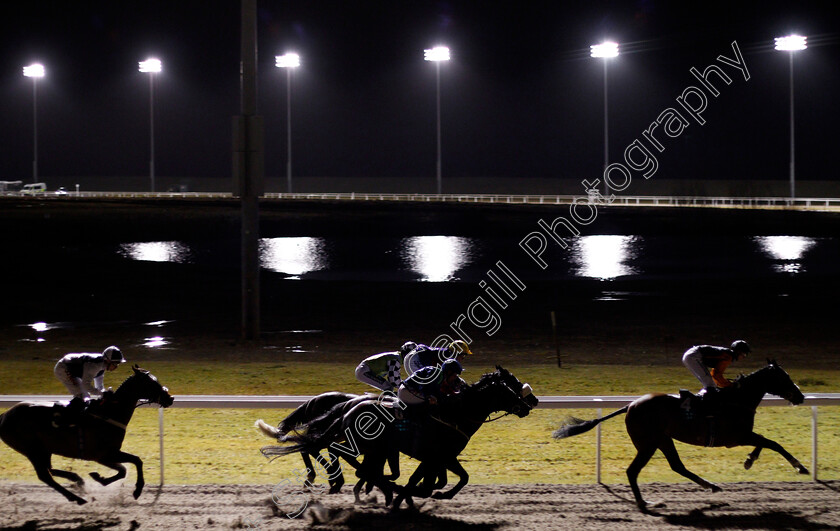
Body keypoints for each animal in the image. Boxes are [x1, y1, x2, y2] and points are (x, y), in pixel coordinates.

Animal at [0, 368, 173, 504]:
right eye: (152, 383)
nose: (170, 398)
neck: (109, 413)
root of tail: (4, 416)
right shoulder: (103, 454)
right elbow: (136, 461)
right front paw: (137, 490)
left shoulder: (107, 455)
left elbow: (123, 469)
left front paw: (99, 477)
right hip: (31, 450)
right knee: (45, 476)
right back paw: (77, 498)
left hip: (43, 450)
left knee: (49, 471)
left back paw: (76, 480)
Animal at [262, 368, 540, 510]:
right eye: (510, 387)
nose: (530, 404)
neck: (456, 413)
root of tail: (349, 406)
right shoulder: (436, 457)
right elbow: (427, 483)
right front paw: (404, 496)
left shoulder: (440, 458)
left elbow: (455, 478)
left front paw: (428, 495)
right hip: (362, 443)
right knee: (331, 451)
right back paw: (347, 482)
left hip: (367, 445)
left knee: (326, 450)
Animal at [552, 360, 808, 512]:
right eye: (784, 377)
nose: (801, 397)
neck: (737, 400)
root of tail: (629, 406)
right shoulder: (735, 437)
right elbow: (772, 442)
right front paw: (799, 467)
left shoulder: (741, 436)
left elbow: (766, 441)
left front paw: (749, 460)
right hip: (648, 443)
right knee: (633, 471)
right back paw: (644, 502)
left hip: (663, 439)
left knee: (677, 466)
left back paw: (710, 485)